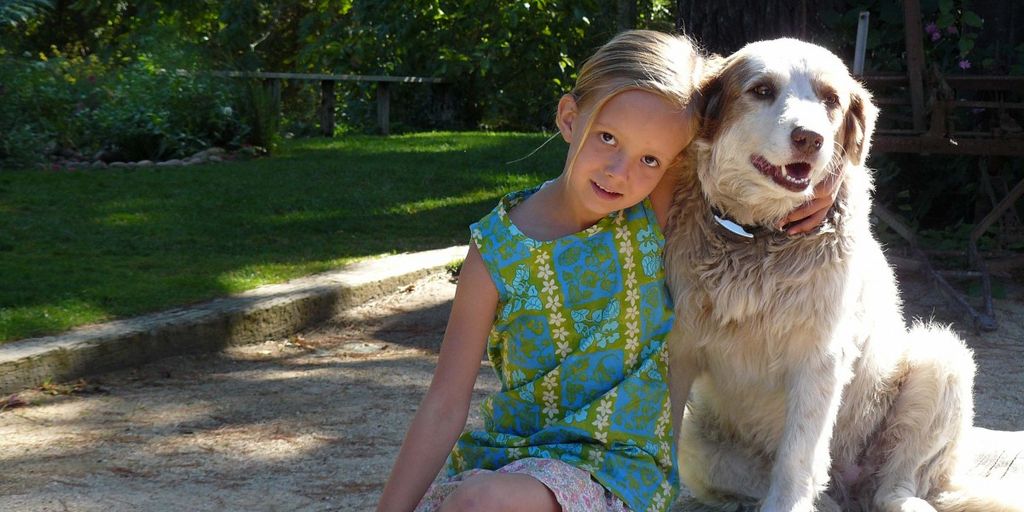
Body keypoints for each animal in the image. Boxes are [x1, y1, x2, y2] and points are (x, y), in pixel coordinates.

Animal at [659, 37, 1019, 509]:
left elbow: (796, 458)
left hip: (943, 358)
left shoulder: (819, 359)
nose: (809, 138)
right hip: (700, 444)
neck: (758, 238)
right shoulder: (677, 350)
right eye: (761, 90)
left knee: (893, 486)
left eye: (830, 99)